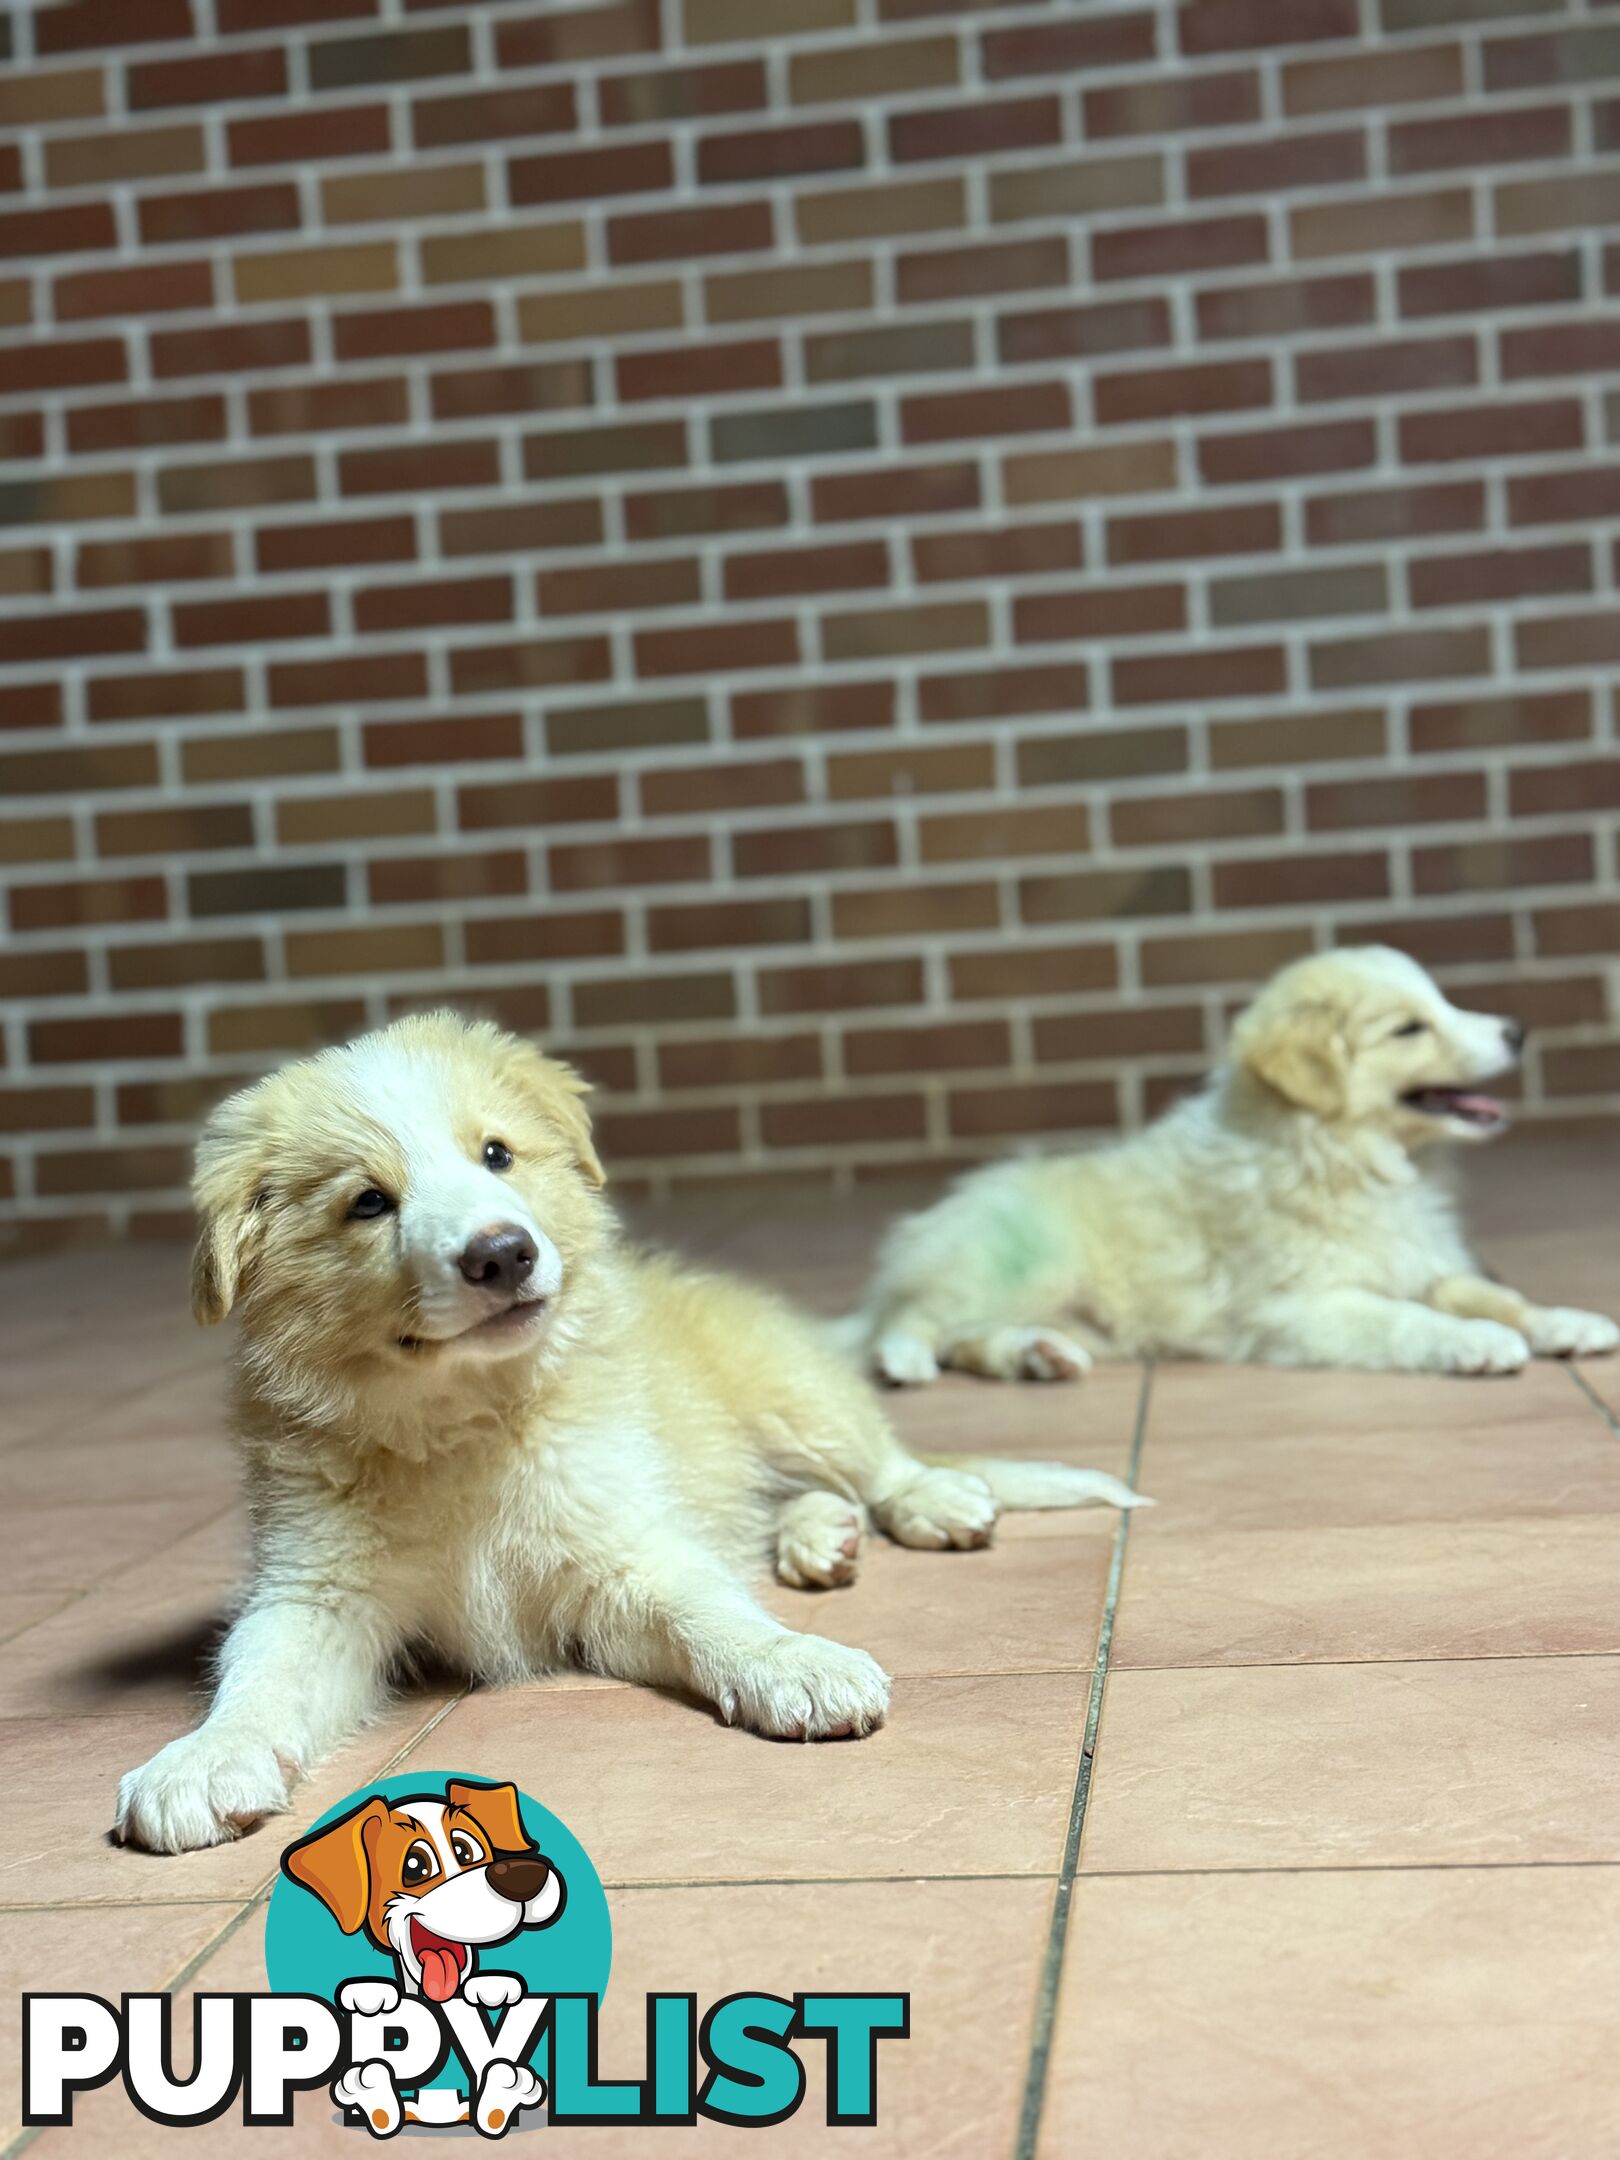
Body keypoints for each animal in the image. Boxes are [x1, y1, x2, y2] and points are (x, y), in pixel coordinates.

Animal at [114, 1015, 1140, 1857]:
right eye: (368, 1202)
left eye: (497, 1154)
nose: (504, 1253)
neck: (465, 1424)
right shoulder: (316, 1592)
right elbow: (258, 1674)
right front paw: (203, 1758)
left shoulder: (624, 1549)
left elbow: (708, 1609)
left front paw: (793, 1665)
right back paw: (821, 1540)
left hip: (790, 1393)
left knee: (874, 1464)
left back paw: (925, 1502)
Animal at [851, 954, 1620, 1391]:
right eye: (1408, 1028)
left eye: (1443, 1003)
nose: (1518, 1031)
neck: (1340, 1154)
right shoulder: (1299, 1305)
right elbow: (1402, 1317)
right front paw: (1476, 1342)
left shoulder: (1421, 1260)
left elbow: (1493, 1293)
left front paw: (1566, 1322)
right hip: (1012, 1263)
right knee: (914, 1318)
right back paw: (904, 1360)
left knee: (966, 1336)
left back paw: (1037, 1356)